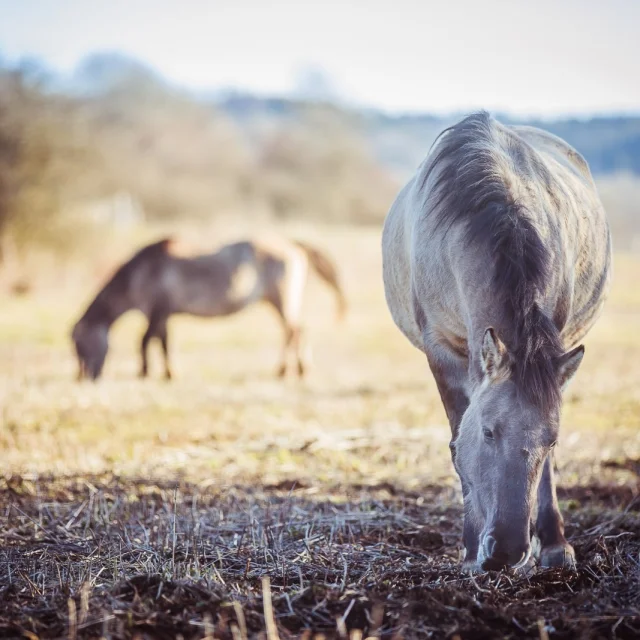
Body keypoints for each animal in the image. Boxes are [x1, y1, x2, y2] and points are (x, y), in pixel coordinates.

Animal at [72, 235, 346, 380]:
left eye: (80, 345)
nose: (84, 377)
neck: (140, 272)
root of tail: (292, 244)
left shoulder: (157, 310)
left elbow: (145, 340)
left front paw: (145, 371)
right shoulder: (163, 314)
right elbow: (163, 341)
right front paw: (168, 372)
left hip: (281, 298)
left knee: (294, 331)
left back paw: (287, 369)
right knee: (297, 330)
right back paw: (297, 368)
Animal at [382, 112, 611, 571]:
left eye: (551, 439)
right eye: (488, 432)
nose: (506, 551)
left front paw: (554, 545)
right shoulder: (442, 352)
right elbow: (457, 441)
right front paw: (471, 550)